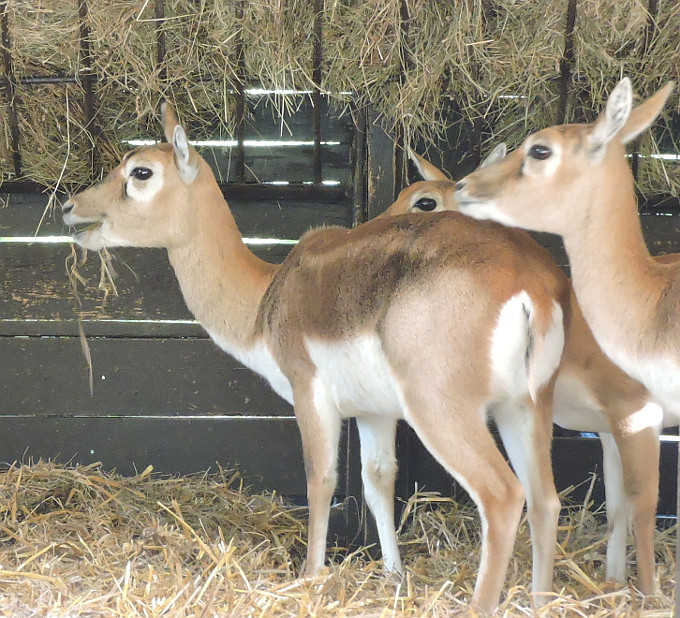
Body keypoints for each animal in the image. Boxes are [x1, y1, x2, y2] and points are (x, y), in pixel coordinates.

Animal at [61, 102, 568, 612]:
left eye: (141, 171)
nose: (68, 207)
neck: (266, 297)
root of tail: (530, 284)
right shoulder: (374, 412)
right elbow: (377, 480)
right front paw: (393, 574)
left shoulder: (309, 391)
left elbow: (320, 479)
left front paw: (309, 576)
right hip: (525, 408)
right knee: (545, 500)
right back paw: (543, 602)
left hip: (444, 411)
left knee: (503, 496)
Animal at [382, 147, 668, 596]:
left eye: (425, 202)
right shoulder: (606, 428)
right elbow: (616, 504)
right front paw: (612, 582)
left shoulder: (636, 413)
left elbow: (641, 503)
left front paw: (647, 594)